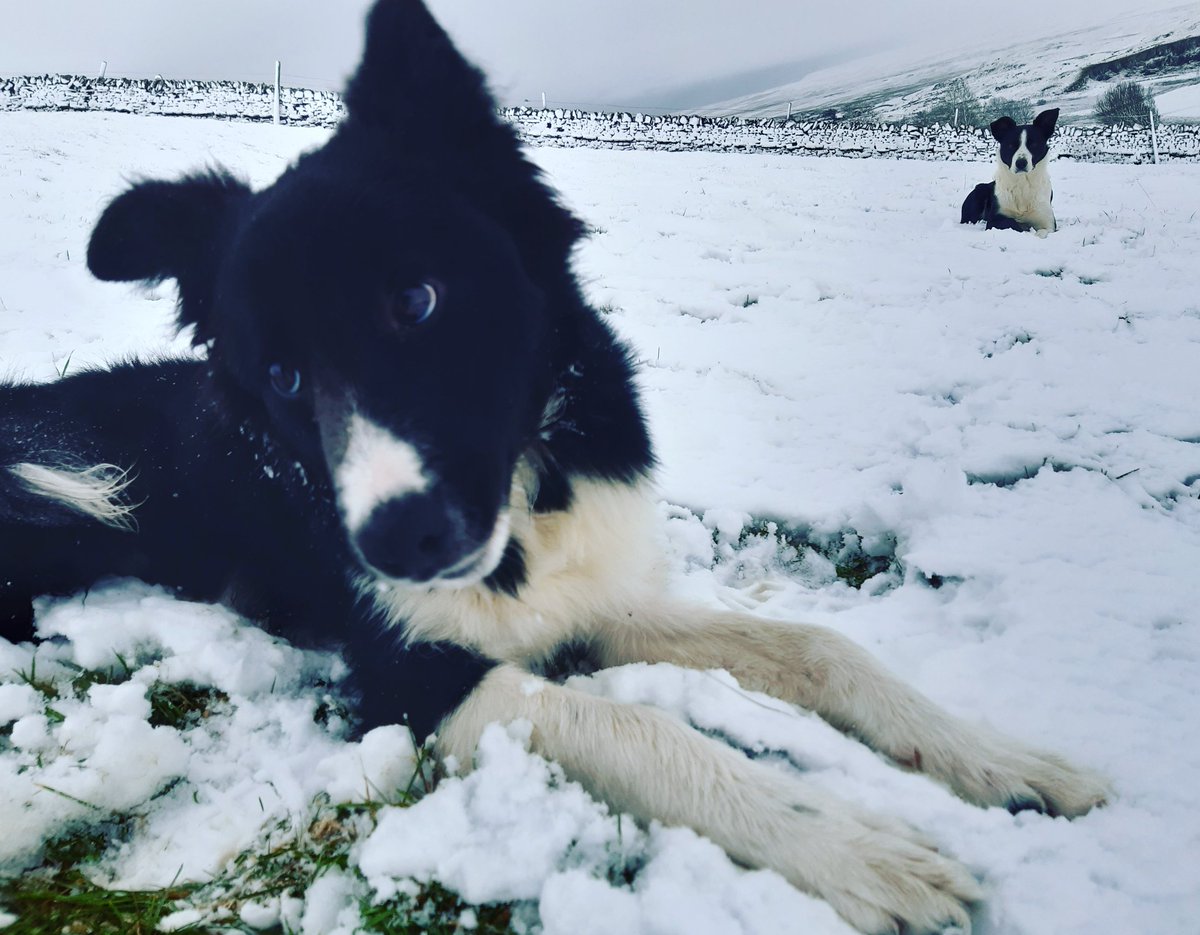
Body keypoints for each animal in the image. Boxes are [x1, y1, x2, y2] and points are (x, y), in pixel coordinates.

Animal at [0, 3, 1104, 931]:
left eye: (417, 300)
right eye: (281, 373)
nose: (399, 540)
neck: (530, 496)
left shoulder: (588, 600)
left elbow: (818, 645)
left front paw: (1001, 759)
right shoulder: (410, 677)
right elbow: (632, 726)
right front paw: (859, 846)